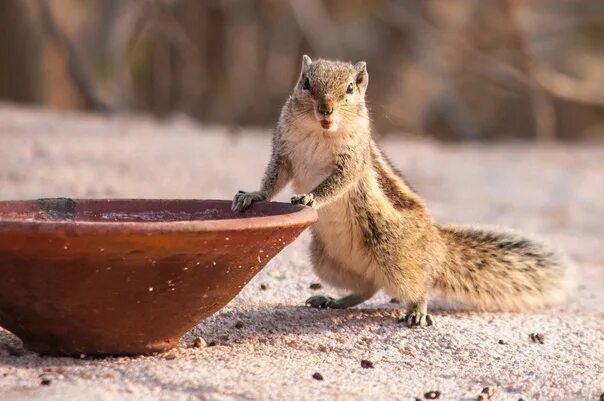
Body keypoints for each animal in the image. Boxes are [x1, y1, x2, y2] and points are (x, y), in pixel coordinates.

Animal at [230, 55, 572, 324]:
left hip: (393, 255)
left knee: (414, 286)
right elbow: (272, 179)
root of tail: (437, 245)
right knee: (368, 287)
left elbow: (336, 183)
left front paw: (311, 196)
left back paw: (417, 310)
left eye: (350, 88)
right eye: (306, 83)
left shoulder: (351, 163)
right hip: (325, 260)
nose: (325, 109)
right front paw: (253, 195)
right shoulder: (284, 153)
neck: (319, 132)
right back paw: (332, 301)